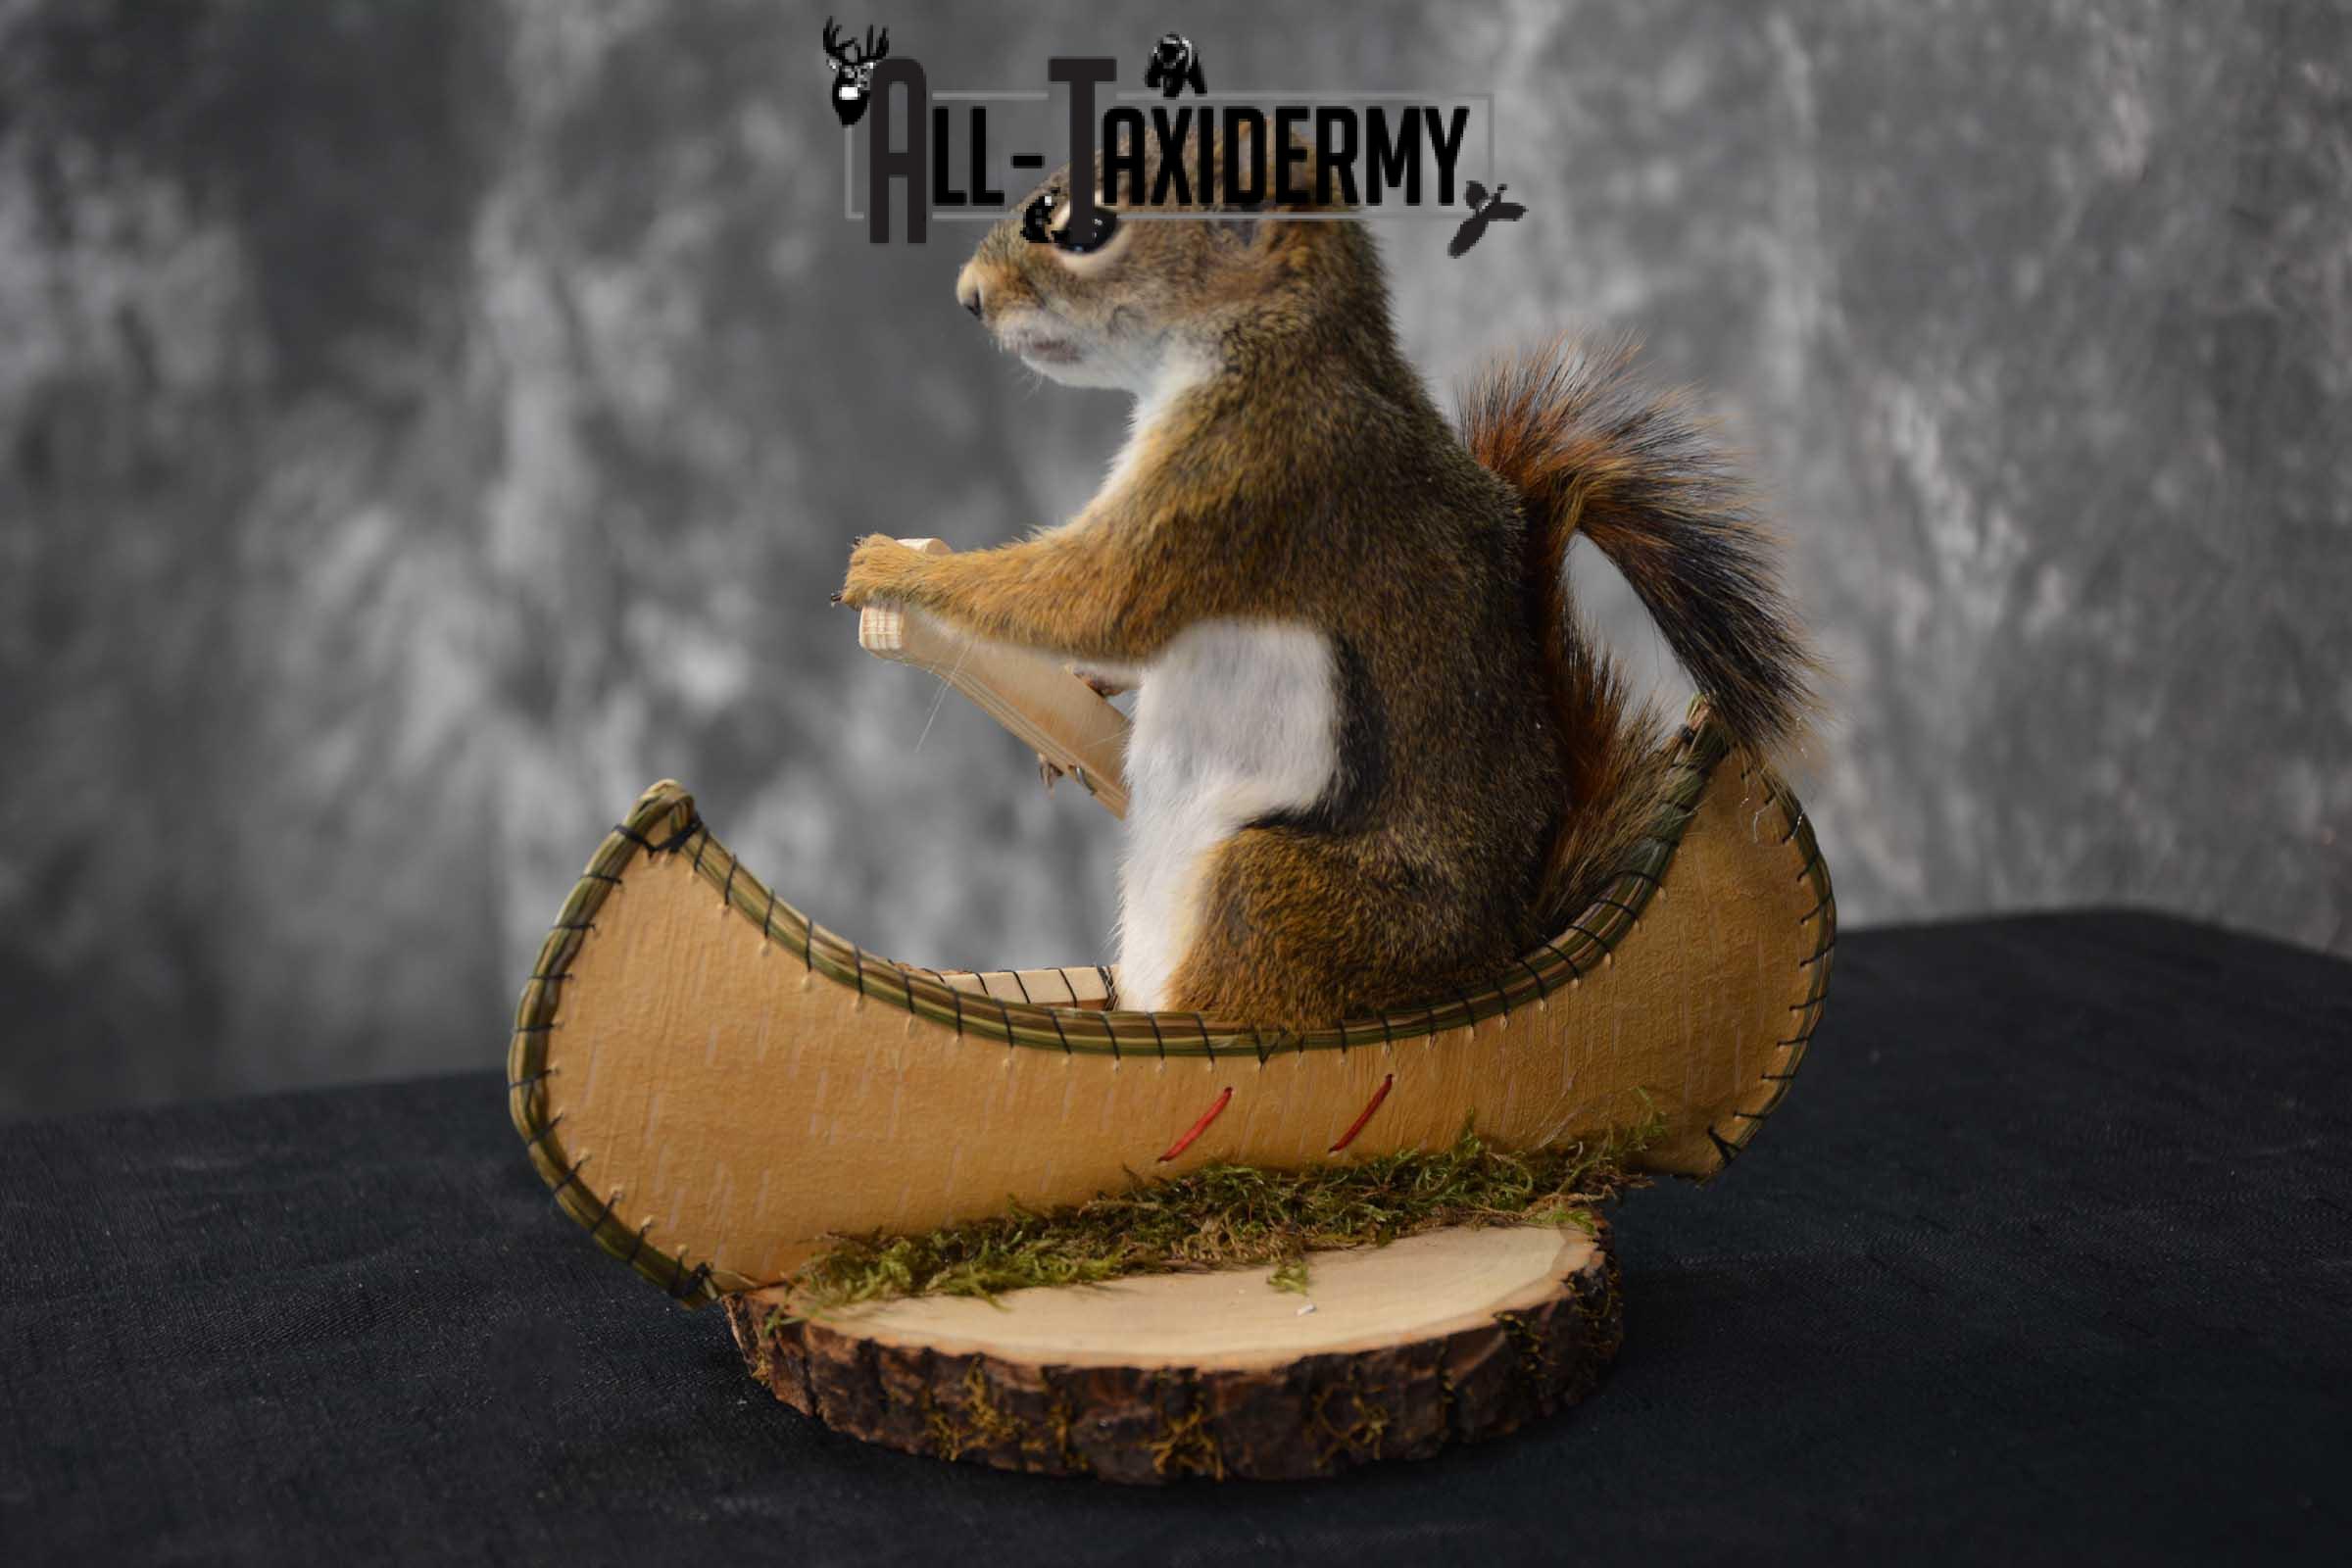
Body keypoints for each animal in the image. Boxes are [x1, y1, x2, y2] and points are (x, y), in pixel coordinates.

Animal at [838, 128, 1816, 1029]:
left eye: (1089, 228)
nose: (969, 297)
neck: (1276, 343)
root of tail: (1490, 954)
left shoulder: (1246, 481)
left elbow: (1100, 597)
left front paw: (895, 567)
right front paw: (1078, 695)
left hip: (1279, 891)